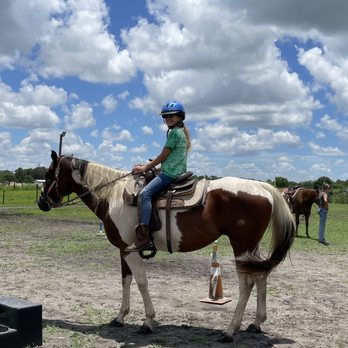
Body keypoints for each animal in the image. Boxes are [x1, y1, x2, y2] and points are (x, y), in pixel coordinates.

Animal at [37, 151, 294, 344]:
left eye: (49, 174)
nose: (41, 202)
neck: (113, 195)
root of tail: (263, 188)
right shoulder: (123, 249)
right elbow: (126, 281)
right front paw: (120, 317)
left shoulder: (130, 249)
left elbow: (141, 282)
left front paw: (148, 322)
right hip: (252, 249)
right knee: (261, 277)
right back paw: (256, 323)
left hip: (241, 247)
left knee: (247, 285)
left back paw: (230, 331)